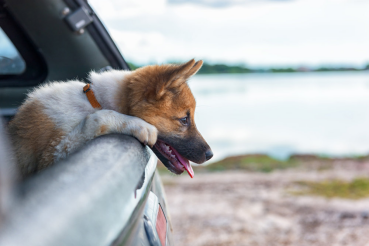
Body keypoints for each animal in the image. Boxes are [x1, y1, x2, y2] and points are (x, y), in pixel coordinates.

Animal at [7, 59, 213, 179]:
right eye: (184, 120)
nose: (210, 155)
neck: (95, 101)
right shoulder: (51, 156)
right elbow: (98, 118)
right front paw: (139, 126)